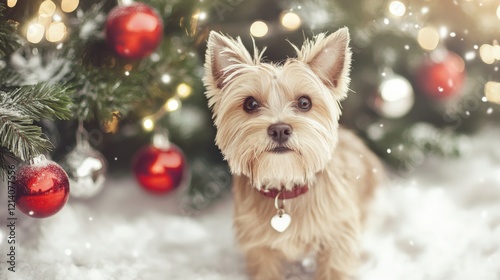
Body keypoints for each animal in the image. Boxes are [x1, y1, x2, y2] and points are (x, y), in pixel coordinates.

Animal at [203, 29, 382, 280]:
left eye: (304, 102)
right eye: (250, 104)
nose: (279, 129)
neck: (285, 186)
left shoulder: (338, 237)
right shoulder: (259, 247)